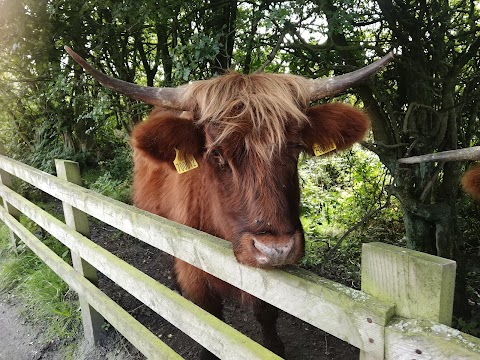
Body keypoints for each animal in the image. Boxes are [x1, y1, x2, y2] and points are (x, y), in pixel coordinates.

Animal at [65, 46, 392, 358]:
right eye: (216, 154)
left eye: (296, 148)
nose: (276, 250)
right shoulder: (194, 272)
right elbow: (209, 322)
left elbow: (266, 313)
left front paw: (273, 347)